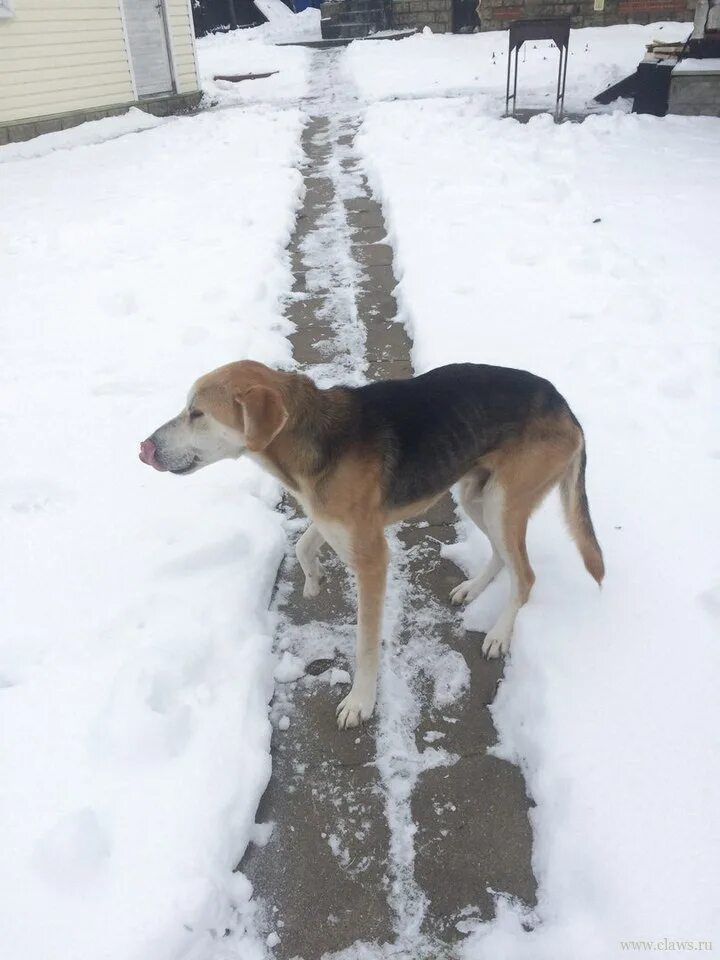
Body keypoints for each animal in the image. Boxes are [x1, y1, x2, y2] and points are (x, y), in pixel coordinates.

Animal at [139, 360, 600, 728]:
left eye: (197, 413)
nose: (144, 447)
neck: (311, 439)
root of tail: (567, 408)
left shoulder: (373, 558)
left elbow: (364, 644)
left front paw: (360, 703)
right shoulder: (332, 519)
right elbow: (304, 544)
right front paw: (313, 579)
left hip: (504, 502)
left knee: (526, 574)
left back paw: (500, 635)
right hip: (478, 496)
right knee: (505, 558)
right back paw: (472, 589)